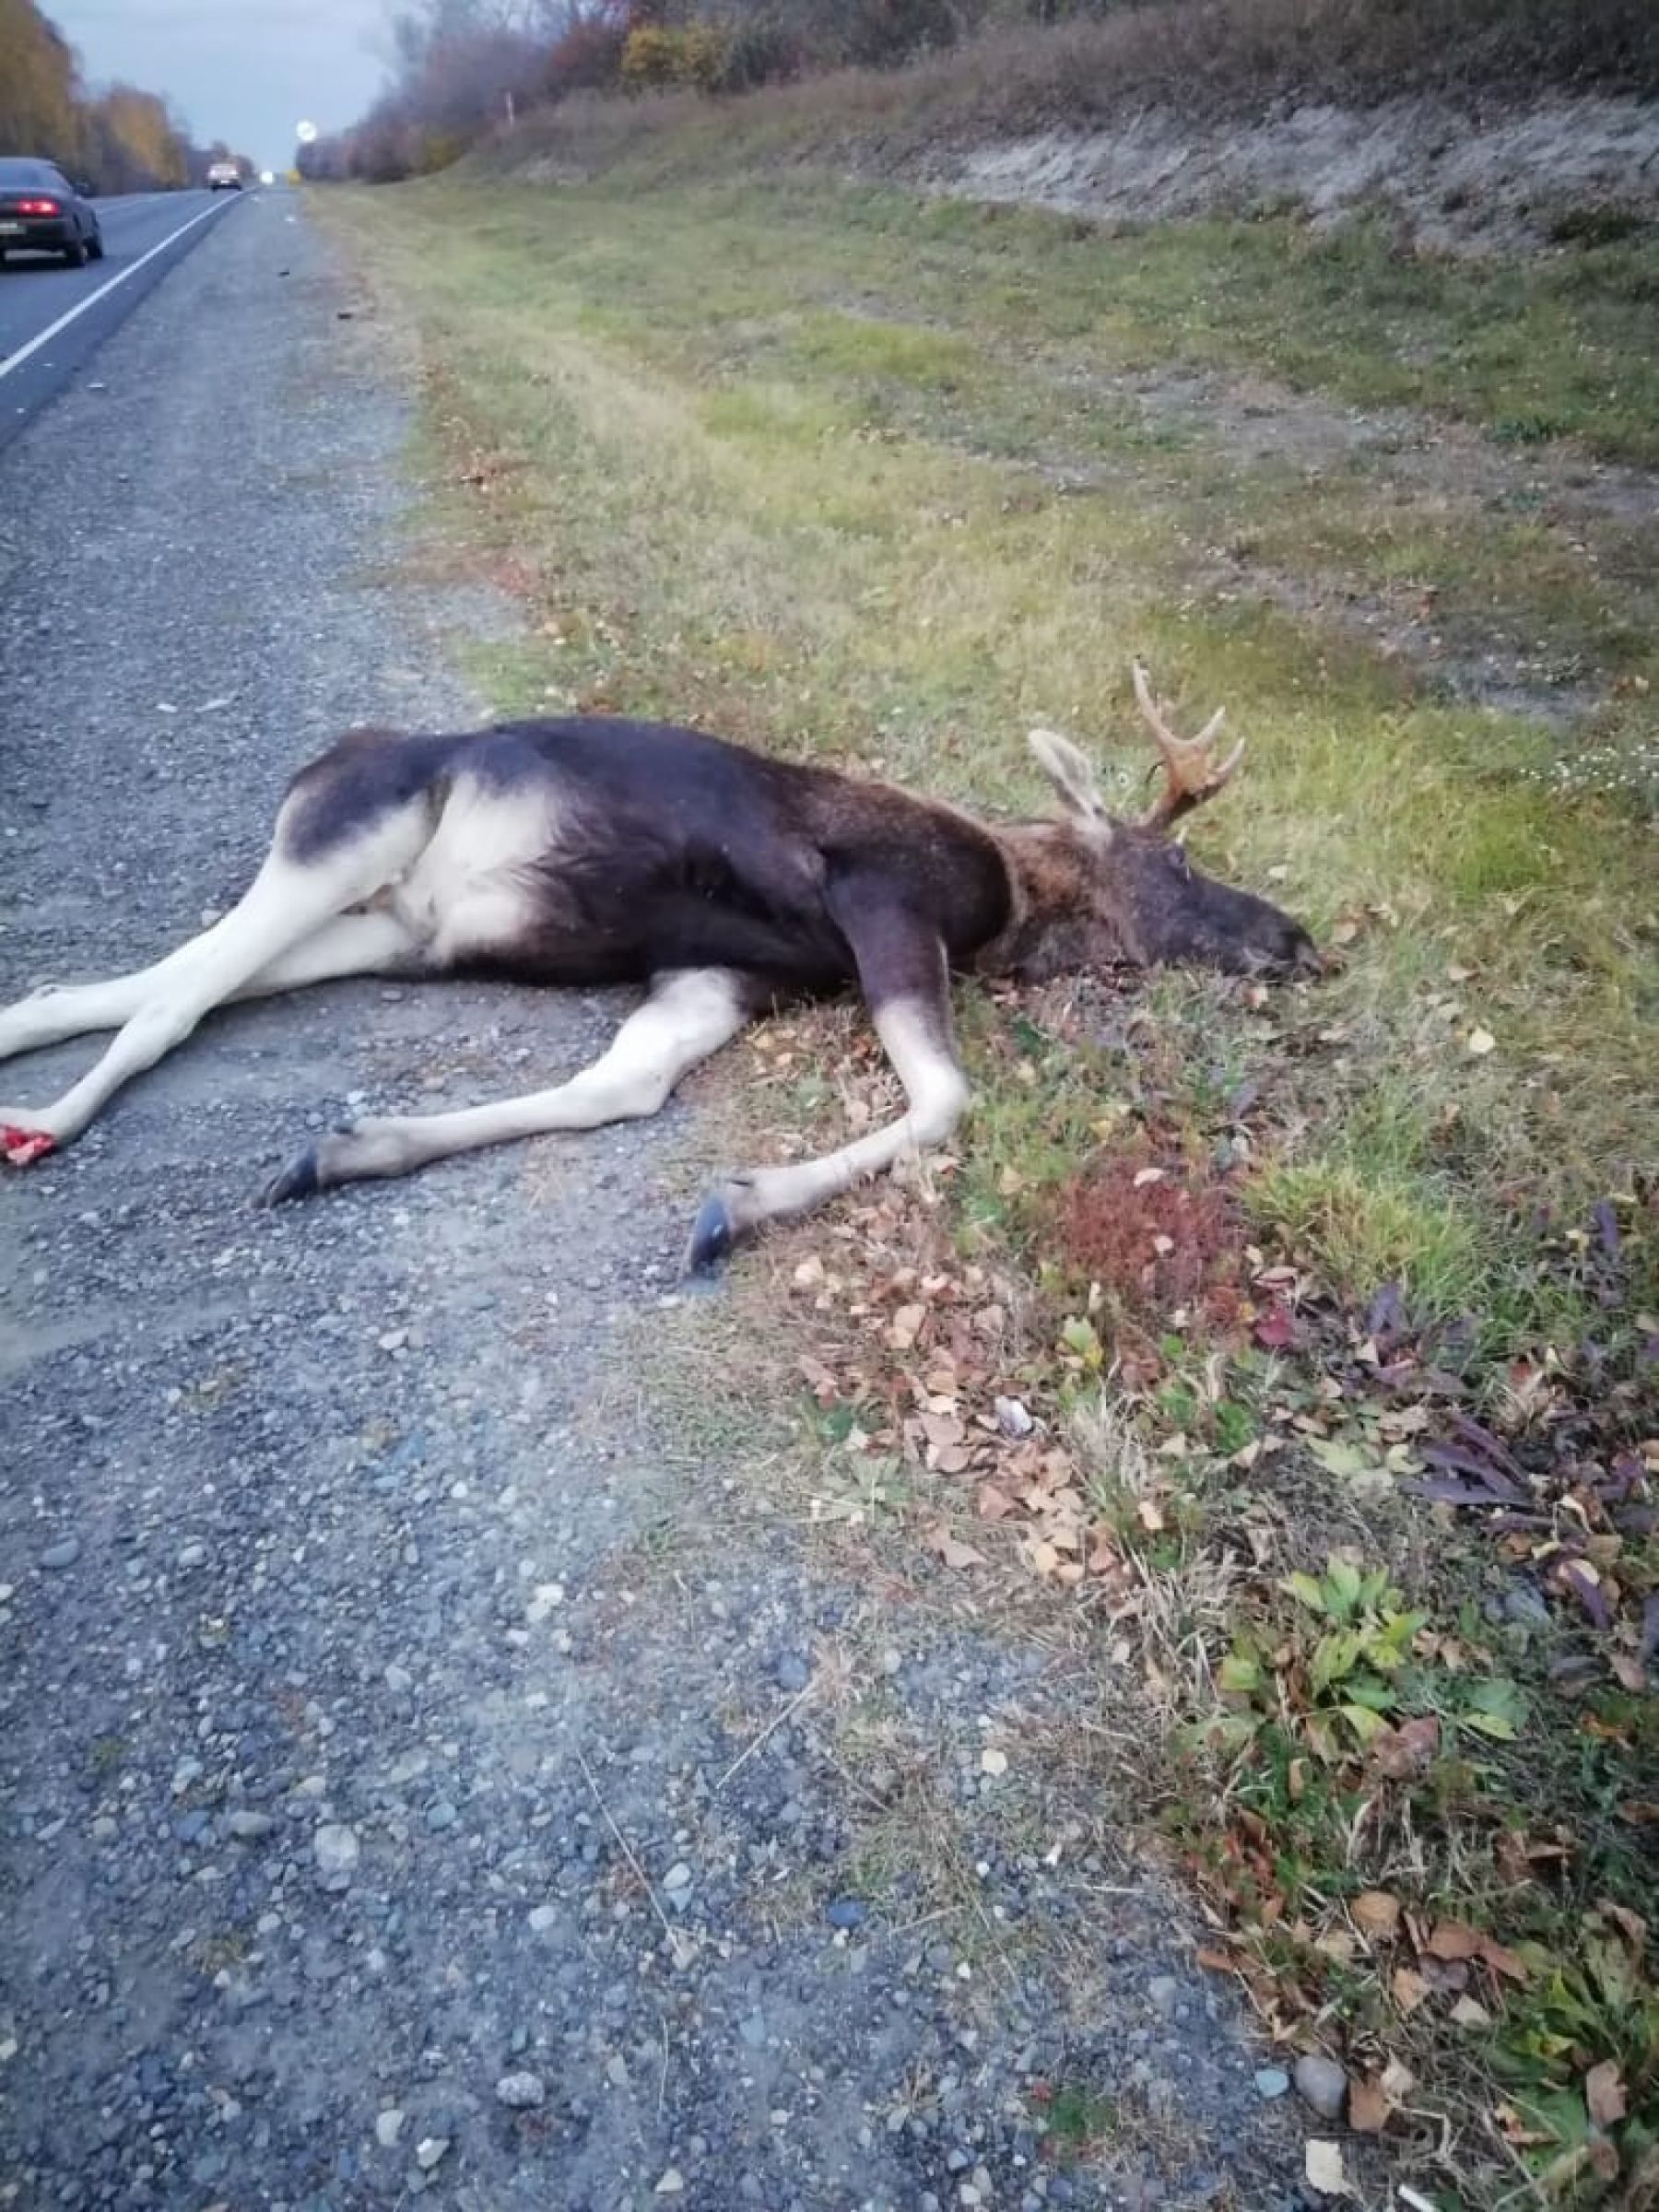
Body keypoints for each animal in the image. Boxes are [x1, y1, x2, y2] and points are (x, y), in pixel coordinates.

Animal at [3, 659, 1327, 1265]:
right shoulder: (885, 899)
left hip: (390, 929)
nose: (1300, 938)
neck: (1018, 904)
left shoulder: (721, 977)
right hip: (344, 834)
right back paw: (46, 1124)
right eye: (1181, 863)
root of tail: (318, 766)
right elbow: (949, 1099)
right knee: (174, 1002)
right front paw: (739, 1204)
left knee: (136, 980)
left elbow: (622, 1085)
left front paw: (355, 1147)